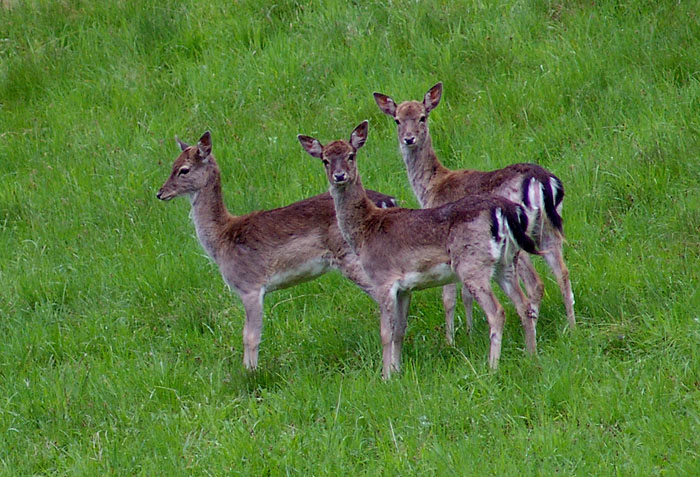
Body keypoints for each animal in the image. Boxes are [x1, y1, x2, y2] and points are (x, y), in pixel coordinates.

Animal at [159, 131, 400, 372]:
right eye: (172, 165)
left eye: (183, 169)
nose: (160, 193)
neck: (222, 239)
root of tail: (389, 200)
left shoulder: (250, 286)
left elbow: (250, 336)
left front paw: (250, 373)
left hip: (354, 259)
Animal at [298, 120, 544, 380]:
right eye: (325, 160)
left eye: (350, 155)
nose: (339, 176)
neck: (365, 232)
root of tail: (505, 211)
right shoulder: (405, 288)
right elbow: (399, 330)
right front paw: (397, 371)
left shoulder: (383, 279)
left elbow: (385, 332)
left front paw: (385, 376)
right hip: (506, 262)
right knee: (523, 305)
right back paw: (531, 356)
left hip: (472, 264)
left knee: (497, 312)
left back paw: (492, 366)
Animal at [374, 82, 576, 342]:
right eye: (397, 120)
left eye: (422, 116)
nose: (409, 139)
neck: (432, 187)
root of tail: (542, 180)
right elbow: (466, 294)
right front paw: (470, 332)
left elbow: (449, 297)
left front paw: (452, 339)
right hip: (549, 229)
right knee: (562, 273)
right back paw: (571, 328)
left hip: (519, 238)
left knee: (536, 284)